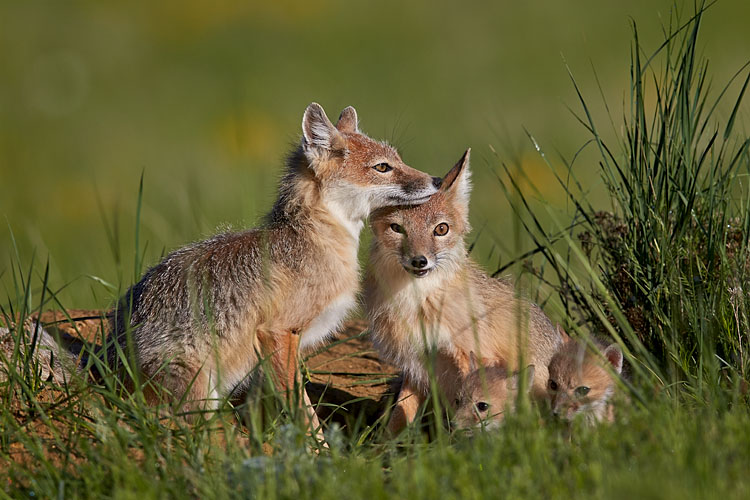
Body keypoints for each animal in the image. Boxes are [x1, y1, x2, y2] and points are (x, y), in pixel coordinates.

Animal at [106, 103, 440, 431]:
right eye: (383, 167)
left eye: (398, 159)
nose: (436, 180)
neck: (313, 238)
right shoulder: (277, 332)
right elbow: (304, 413)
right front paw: (318, 447)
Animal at [364, 149, 562, 433]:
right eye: (397, 228)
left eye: (441, 229)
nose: (420, 261)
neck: (417, 302)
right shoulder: (415, 365)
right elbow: (399, 416)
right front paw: (383, 445)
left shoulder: (469, 355)